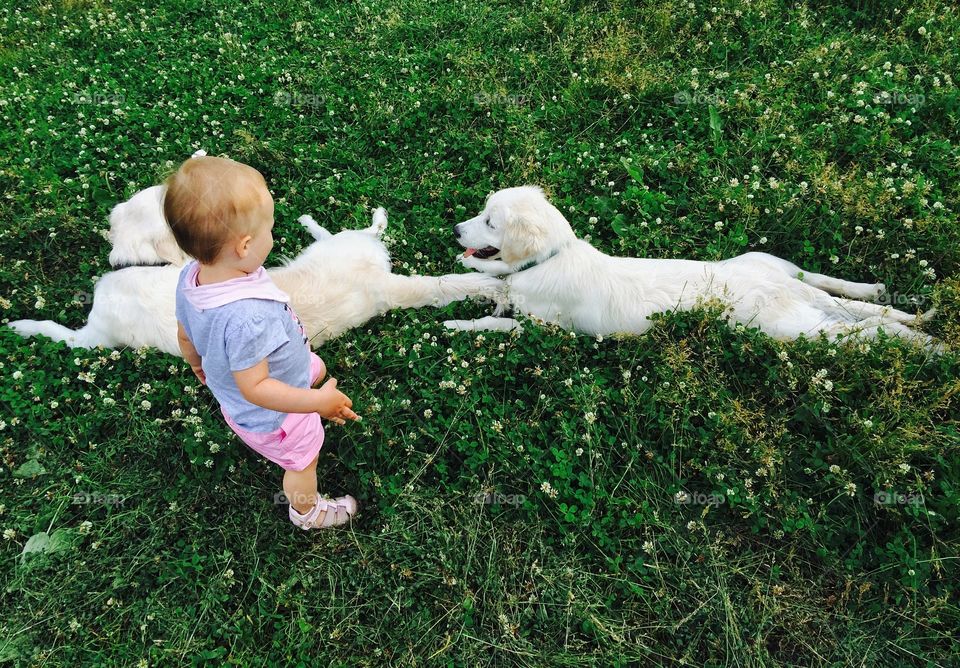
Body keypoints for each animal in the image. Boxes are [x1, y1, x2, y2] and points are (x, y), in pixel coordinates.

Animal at [11, 188, 502, 354]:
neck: (147, 263)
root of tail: (382, 287)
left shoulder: (92, 337)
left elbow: (51, 329)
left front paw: (20, 325)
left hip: (342, 245)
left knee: (364, 229)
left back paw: (320, 219)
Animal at [446, 183, 940, 350]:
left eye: (490, 222)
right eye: (482, 212)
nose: (454, 229)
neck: (553, 257)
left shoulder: (547, 328)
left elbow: (498, 323)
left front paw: (456, 325)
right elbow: (494, 280)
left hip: (786, 327)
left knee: (862, 330)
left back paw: (919, 343)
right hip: (773, 264)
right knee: (840, 289)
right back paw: (877, 294)